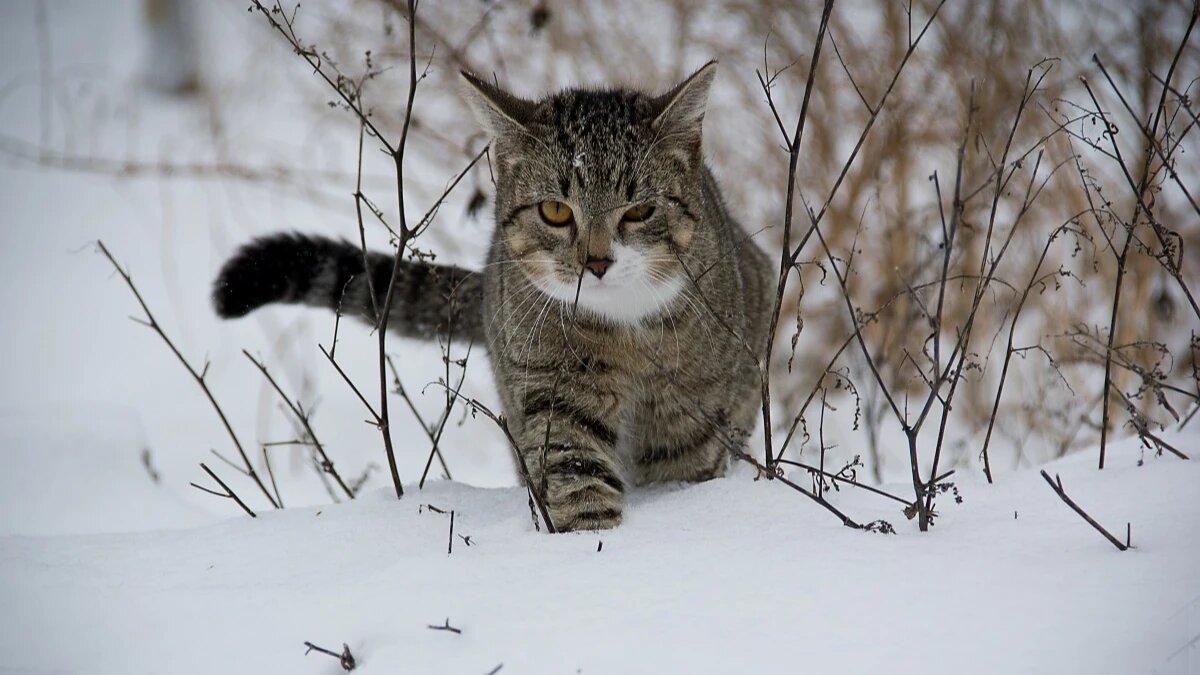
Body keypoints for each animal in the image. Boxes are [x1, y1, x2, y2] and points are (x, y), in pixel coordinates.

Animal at [213, 60, 777, 528]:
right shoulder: (550, 389)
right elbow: (575, 474)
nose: (595, 262)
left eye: (639, 211)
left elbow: (682, 467)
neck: (623, 330)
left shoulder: (692, 406)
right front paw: (591, 542)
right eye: (555, 211)